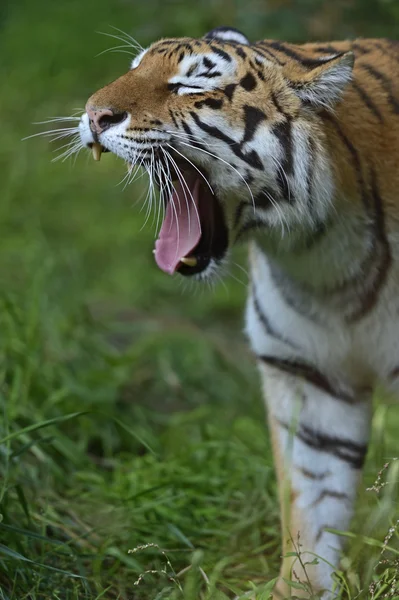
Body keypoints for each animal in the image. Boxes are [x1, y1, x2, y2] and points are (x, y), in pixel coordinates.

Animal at [77, 25, 399, 596]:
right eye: (135, 69)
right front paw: (300, 589)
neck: (324, 256)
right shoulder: (309, 375)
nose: (94, 115)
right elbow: (312, 507)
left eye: (190, 86)